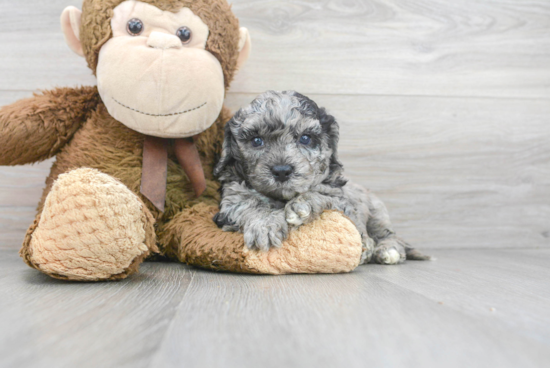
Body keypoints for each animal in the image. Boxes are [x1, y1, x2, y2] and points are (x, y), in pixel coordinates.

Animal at [213, 91, 434, 264]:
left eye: (305, 138)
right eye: (256, 140)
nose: (282, 170)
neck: (281, 198)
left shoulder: (342, 201)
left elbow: (321, 194)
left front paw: (301, 206)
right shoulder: (232, 197)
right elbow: (248, 203)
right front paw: (265, 225)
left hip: (377, 214)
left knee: (390, 235)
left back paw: (388, 250)